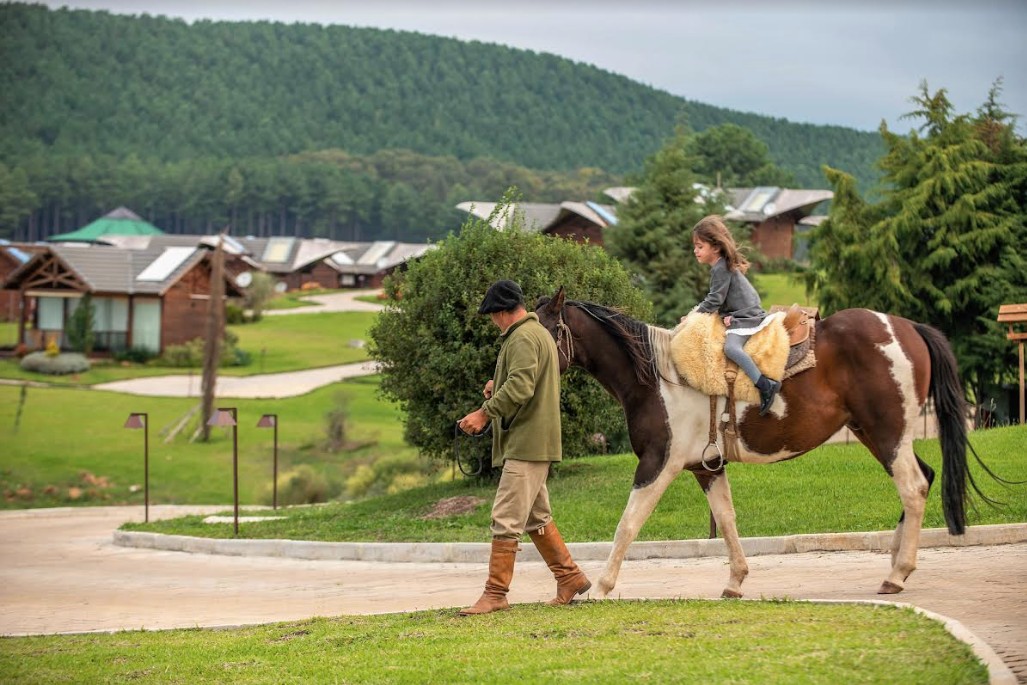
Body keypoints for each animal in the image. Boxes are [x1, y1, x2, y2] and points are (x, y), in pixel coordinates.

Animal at [534, 287, 990, 595]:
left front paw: (601, 587)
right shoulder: (705, 467)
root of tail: (907, 326)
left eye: (546, 329)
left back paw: (897, 573)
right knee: (923, 478)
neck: (658, 378)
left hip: (887, 433)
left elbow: (628, 524)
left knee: (913, 487)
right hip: (877, 435)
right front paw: (735, 581)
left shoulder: (658, 463)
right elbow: (727, 519)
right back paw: (896, 563)